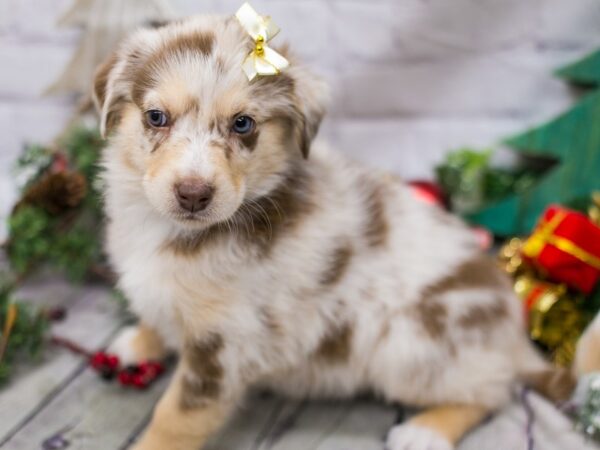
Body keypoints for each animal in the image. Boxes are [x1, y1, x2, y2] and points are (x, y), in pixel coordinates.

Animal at [96, 11, 576, 450]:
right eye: (156, 117)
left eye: (243, 124)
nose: (193, 194)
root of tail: (512, 328)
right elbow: (156, 316)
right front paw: (139, 341)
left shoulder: (224, 349)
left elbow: (174, 420)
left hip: (407, 347)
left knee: (494, 390)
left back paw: (427, 430)